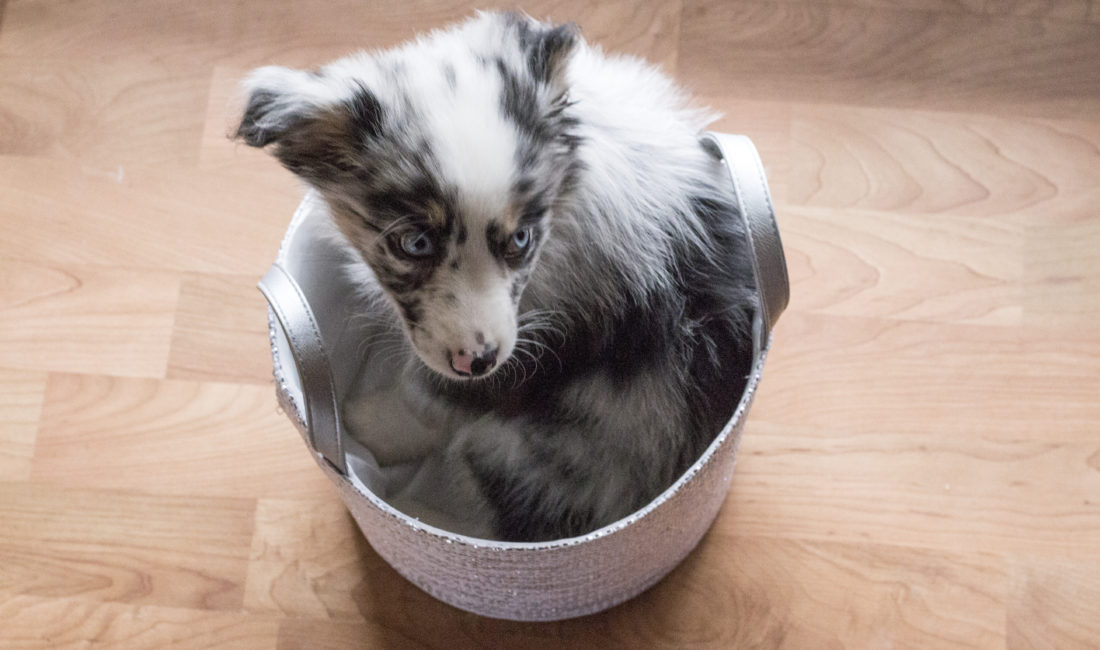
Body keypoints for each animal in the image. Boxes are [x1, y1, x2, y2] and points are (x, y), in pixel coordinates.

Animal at [237, 11, 761, 543]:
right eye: (415, 243)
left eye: (522, 238)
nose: (479, 360)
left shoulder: (547, 346)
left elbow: (428, 396)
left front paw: (372, 426)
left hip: (524, 454)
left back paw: (433, 520)